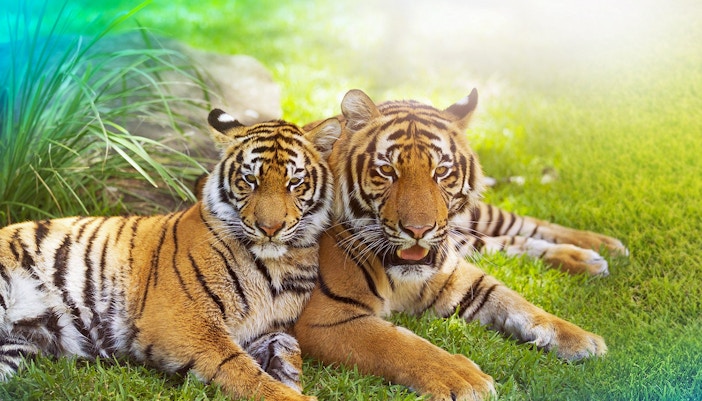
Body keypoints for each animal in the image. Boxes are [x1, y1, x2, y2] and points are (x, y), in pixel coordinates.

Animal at [0, 109, 342, 401]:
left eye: (294, 182)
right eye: (249, 180)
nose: (269, 228)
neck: (278, 264)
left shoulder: (266, 328)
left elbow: (289, 346)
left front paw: (288, 375)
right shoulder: (185, 321)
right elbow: (239, 368)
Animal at [293, 89, 626, 400]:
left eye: (441, 171)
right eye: (387, 171)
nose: (418, 230)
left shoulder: (455, 276)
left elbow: (516, 302)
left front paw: (580, 338)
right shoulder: (326, 317)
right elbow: (397, 343)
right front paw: (462, 378)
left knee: (516, 224)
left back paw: (601, 246)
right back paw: (588, 257)